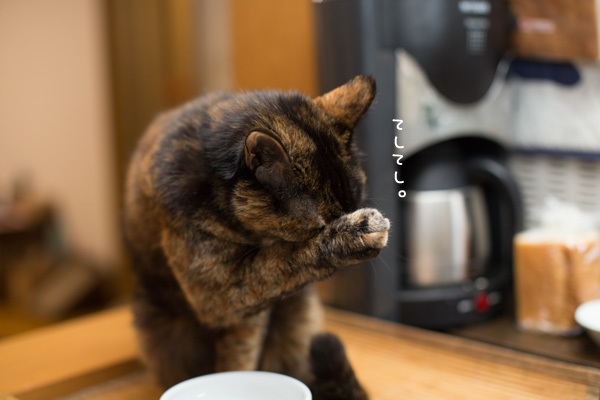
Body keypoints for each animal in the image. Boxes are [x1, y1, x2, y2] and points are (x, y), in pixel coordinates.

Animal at [124, 76, 392, 398]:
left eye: (353, 204)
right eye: (319, 228)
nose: (347, 222)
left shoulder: (246, 316)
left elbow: (241, 353)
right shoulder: (219, 296)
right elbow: (288, 259)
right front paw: (356, 234)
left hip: (298, 314)